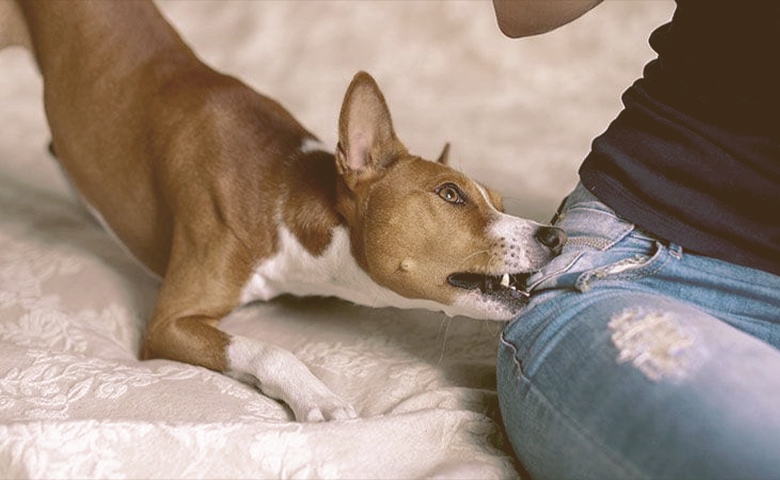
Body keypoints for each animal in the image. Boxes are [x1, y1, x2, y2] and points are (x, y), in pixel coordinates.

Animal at [0, 0, 560, 420]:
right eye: (450, 195)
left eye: (498, 201)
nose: (554, 236)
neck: (283, 194)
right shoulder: (169, 322)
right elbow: (269, 348)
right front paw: (318, 397)